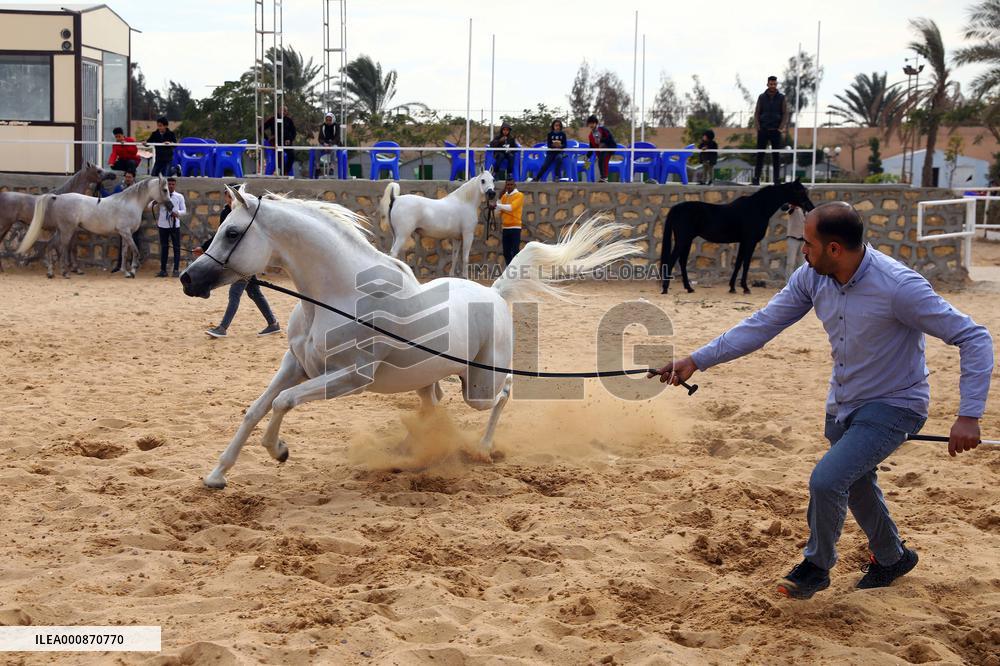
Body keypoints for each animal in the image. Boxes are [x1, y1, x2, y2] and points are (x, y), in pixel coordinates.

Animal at [17, 176, 173, 279]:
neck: (129, 203)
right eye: (165, 190)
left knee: (50, 246)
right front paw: (133, 271)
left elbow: (124, 252)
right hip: (67, 230)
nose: (171, 206)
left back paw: (50, 272)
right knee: (63, 248)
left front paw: (125, 271)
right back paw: (65, 273)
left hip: (61, 230)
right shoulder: (126, 233)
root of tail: (57, 197)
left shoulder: (124, 234)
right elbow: (135, 251)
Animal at [180, 185, 637, 489]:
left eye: (232, 233)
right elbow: (257, 408)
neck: (336, 295)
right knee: (437, 404)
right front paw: (216, 475)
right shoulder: (296, 364)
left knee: (504, 392)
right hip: (428, 379)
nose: (188, 279)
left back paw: (482, 448)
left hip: (479, 385)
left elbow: (283, 402)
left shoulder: (351, 377)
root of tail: (494, 292)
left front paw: (279, 451)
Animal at [659, 180, 815, 294]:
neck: (758, 208)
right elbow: (746, 264)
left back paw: (689, 288)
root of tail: (676, 208)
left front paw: (732, 287)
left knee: (682, 261)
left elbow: (739, 262)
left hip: (687, 240)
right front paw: (745, 288)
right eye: (800, 191)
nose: (810, 207)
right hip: (683, 240)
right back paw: (666, 288)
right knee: (672, 260)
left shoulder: (743, 242)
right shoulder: (750, 241)